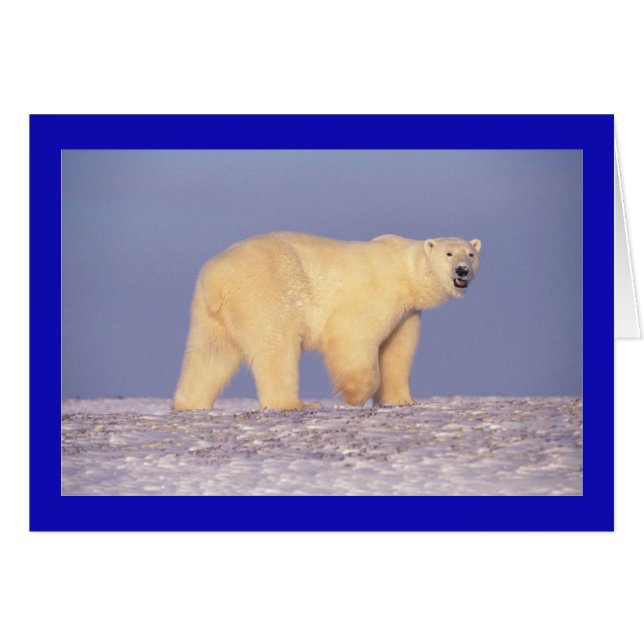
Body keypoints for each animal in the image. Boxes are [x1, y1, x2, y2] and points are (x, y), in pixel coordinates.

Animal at [173, 232, 481, 411]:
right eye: (449, 253)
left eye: (471, 253)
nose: (462, 271)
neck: (403, 271)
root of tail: (217, 278)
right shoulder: (375, 293)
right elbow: (352, 336)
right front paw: (355, 395)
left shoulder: (407, 312)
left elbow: (397, 351)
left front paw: (401, 399)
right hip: (265, 291)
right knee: (277, 347)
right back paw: (294, 404)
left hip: (209, 312)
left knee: (210, 354)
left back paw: (190, 403)